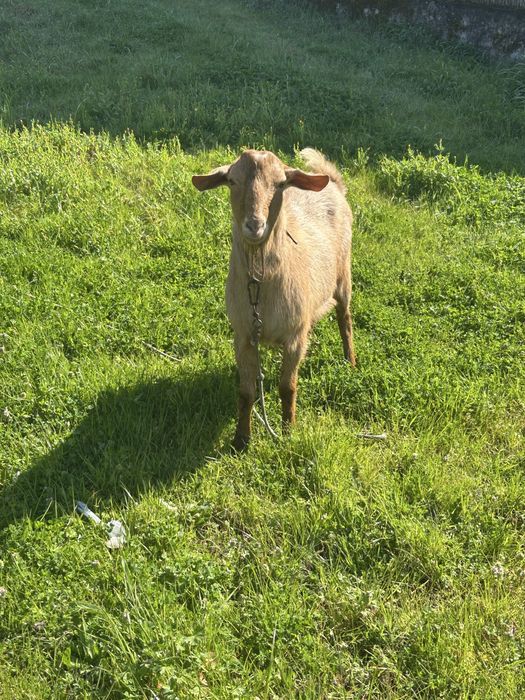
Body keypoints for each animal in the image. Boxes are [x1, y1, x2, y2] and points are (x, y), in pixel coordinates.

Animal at [192, 148, 355, 451]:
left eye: (280, 184)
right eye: (232, 180)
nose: (254, 225)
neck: (260, 290)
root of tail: (334, 183)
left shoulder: (295, 337)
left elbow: (287, 387)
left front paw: (288, 432)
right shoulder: (243, 335)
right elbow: (246, 392)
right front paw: (241, 440)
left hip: (344, 277)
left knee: (345, 320)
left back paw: (351, 362)